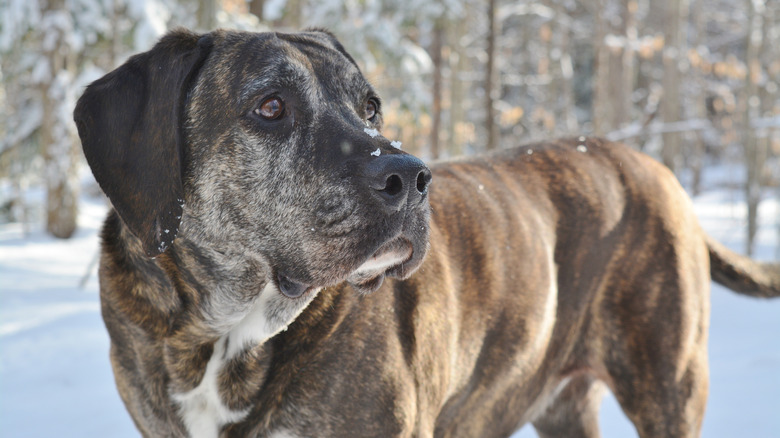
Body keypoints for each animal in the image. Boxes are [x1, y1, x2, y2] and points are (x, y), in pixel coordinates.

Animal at [74, 29, 780, 436]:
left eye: (371, 107)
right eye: (270, 107)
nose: (412, 177)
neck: (224, 331)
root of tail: (660, 172)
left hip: (669, 385)